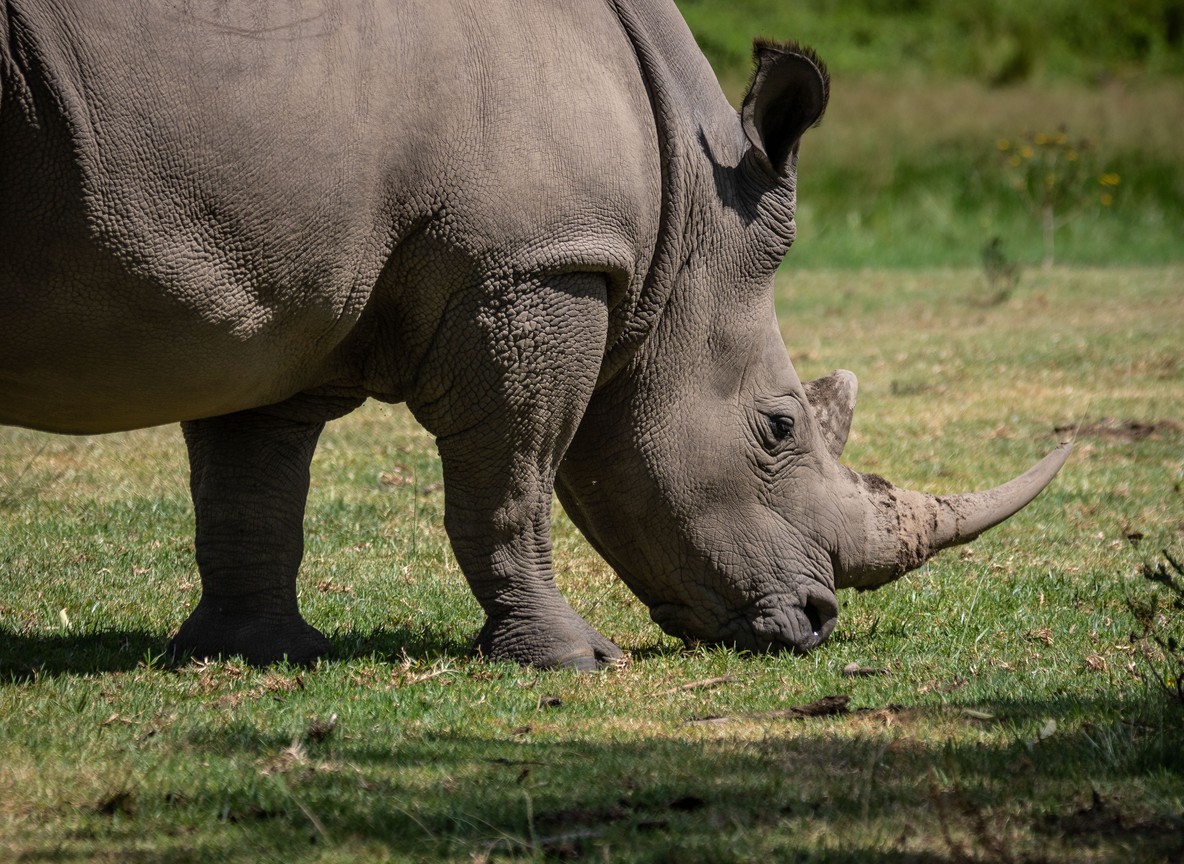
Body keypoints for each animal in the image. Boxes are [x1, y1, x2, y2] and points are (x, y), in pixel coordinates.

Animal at [0, 0, 1069, 669]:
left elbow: (253, 484)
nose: (815, 623)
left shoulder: (282, 279)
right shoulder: (536, 264)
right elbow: (512, 479)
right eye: (779, 429)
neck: (686, 219)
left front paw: (253, 654)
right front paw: (576, 661)